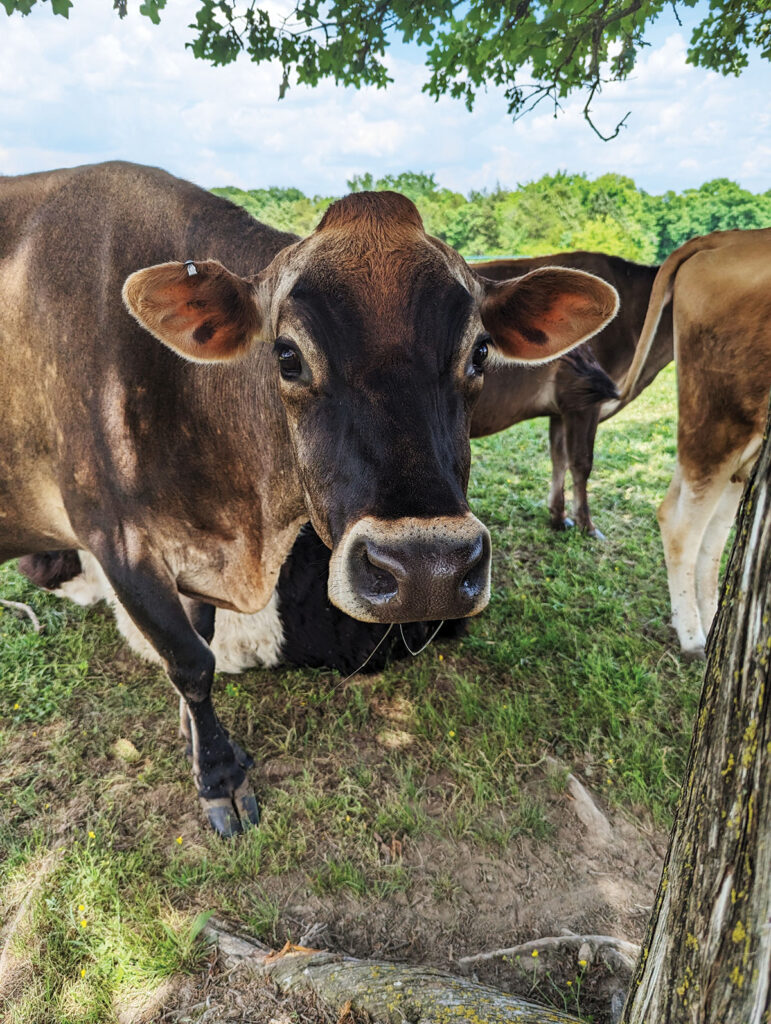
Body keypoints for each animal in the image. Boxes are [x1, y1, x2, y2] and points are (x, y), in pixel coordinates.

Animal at [0, 159, 614, 831]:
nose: (428, 568)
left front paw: (194, 739)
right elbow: (190, 662)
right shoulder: (118, 543)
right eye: (287, 355)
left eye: (480, 352)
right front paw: (217, 775)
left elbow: (199, 643)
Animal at [466, 253, 671, 536]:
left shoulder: (559, 410)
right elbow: (582, 462)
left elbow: (559, 458)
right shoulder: (583, 399)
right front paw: (587, 525)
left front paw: (559, 517)